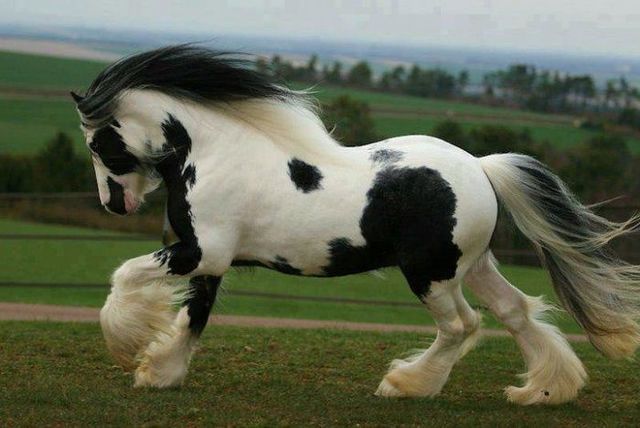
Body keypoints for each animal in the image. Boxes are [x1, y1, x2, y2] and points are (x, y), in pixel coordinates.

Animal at [71, 45, 640, 405]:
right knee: (515, 311)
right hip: (473, 265)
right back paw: (542, 391)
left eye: (97, 143)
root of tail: (481, 168)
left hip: (431, 274)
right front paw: (160, 373)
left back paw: (406, 385)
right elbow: (195, 316)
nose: (113, 204)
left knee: (463, 326)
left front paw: (126, 346)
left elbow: (126, 276)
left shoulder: (200, 251)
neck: (214, 153)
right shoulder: (211, 257)